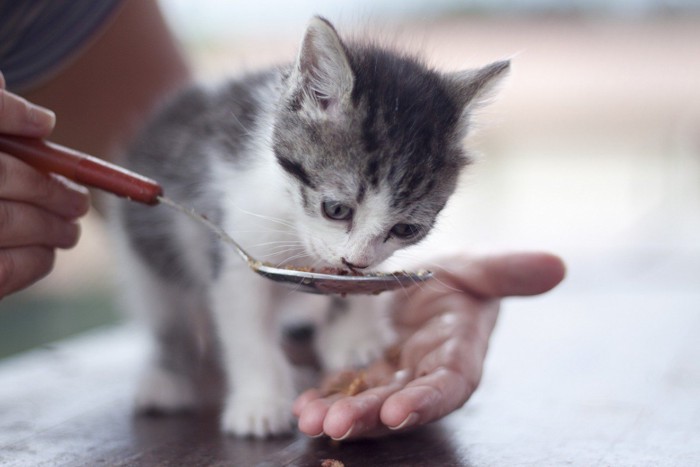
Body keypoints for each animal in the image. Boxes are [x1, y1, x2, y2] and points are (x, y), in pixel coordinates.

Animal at [113, 15, 508, 438]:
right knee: (166, 314)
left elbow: (353, 285)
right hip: (144, 249)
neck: (290, 218)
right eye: (335, 209)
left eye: (406, 230)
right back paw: (167, 378)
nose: (356, 261)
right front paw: (260, 402)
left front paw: (354, 337)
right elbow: (246, 328)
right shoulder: (235, 243)